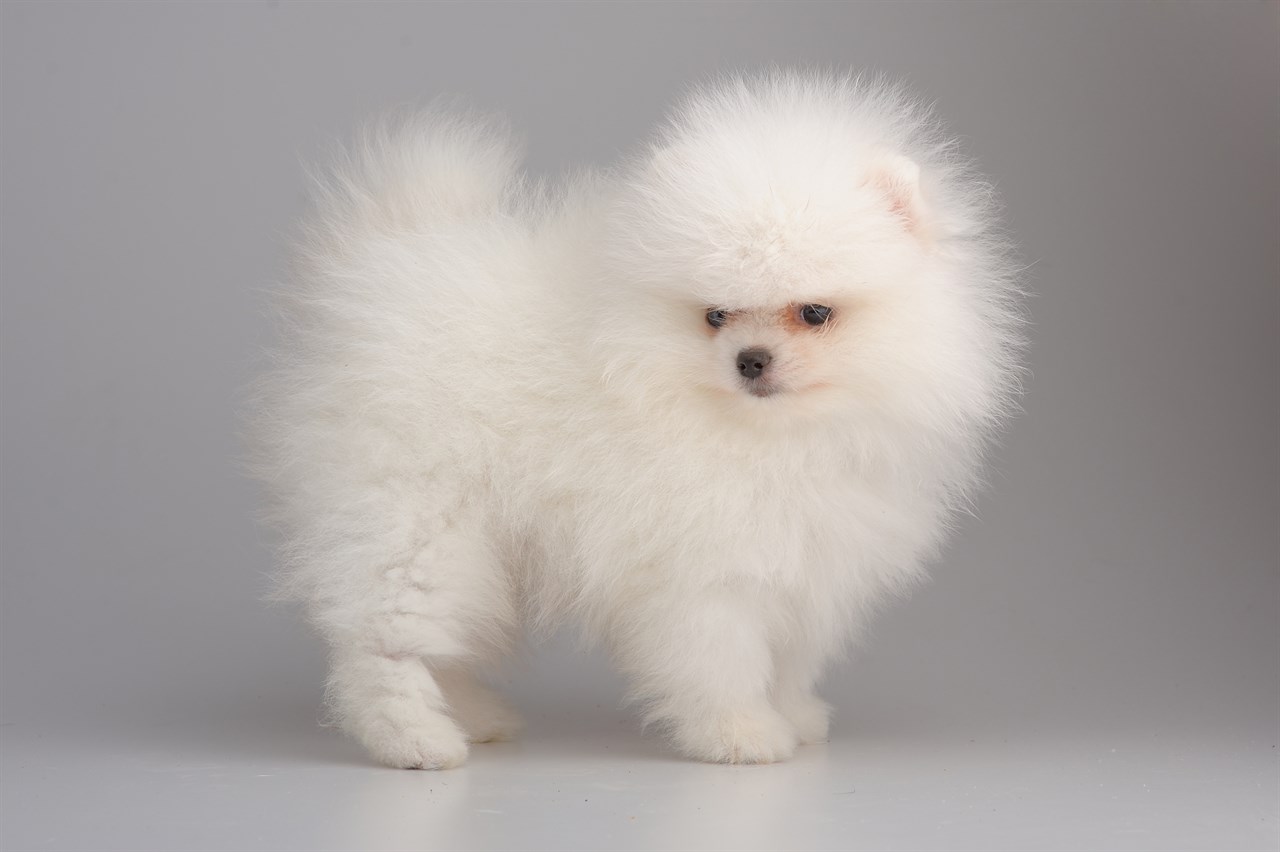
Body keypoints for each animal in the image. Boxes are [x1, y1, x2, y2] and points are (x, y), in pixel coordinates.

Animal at [249, 71, 1024, 762]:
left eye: (814, 312)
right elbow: (723, 658)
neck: (773, 437)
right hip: (416, 514)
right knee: (384, 638)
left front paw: (795, 714)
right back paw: (415, 739)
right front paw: (740, 734)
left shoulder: (805, 556)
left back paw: (472, 716)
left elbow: (790, 656)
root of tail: (375, 265)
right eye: (715, 315)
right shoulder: (702, 568)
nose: (751, 359)